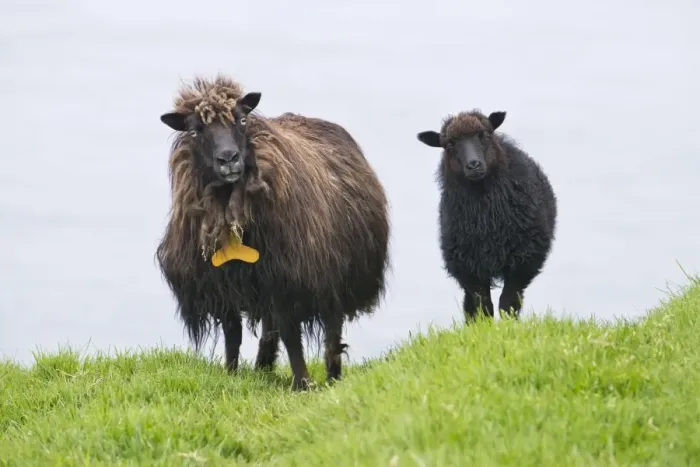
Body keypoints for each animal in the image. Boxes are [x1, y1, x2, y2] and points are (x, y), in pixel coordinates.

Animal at [155, 75, 390, 390]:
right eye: (194, 131)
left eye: (242, 120)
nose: (228, 159)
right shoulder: (224, 285)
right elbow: (233, 335)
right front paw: (231, 375)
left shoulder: (289, 281)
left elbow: (292, 337)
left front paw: (302, 384)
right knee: (270, 330)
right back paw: (263, 367)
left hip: (333, 277)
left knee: (332, 333)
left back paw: (331, 377)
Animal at [416, 109, 557, 321]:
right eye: (449, 144)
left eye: (485, 135)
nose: (473, 165)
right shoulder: (469, 267)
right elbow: (482, 305)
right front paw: (485, 326)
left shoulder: (523, 261)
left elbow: (508, 302)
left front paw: (508, 325)